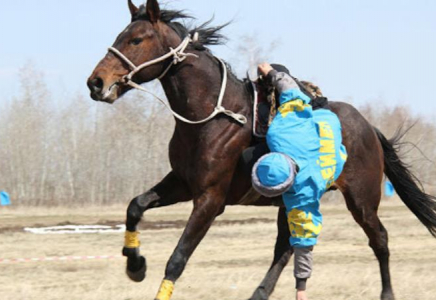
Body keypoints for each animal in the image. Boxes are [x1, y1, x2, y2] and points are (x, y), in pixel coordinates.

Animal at [86, 1, 436, 298]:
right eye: (120, 36)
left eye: (136, 40)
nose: (96, 82)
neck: (214, 116)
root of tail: (368, 128)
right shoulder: (182, 183)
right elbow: (136, 206)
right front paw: (135, 264)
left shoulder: (210, 199)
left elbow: (178, 257)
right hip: (293, 200)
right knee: (285, 248)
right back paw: (260, 292)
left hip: (362, 199)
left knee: (379, 239)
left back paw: (387, 293)